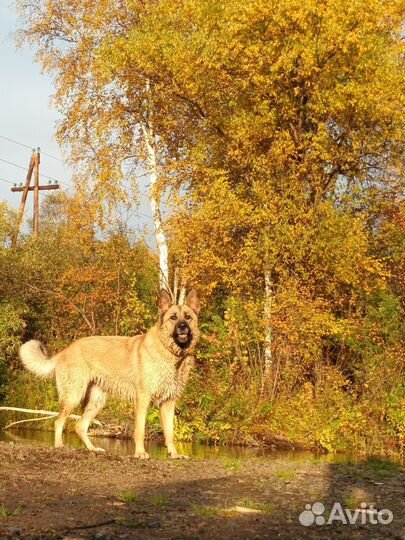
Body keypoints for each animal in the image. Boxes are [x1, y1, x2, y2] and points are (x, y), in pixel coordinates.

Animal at [19, 288, 200, 458]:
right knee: (59, 421)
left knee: (80, 426)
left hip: (96, 401)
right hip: (74, 396)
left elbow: (169, 433)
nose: (183, 327)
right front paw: (140, 453)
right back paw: (59, 446)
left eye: (188, 317)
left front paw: (175, 454)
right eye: (173, 318)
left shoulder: (169, 402)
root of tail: (64, 351)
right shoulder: (143, 399)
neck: (171, 354)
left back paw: (93, 449)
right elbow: (140, 430)